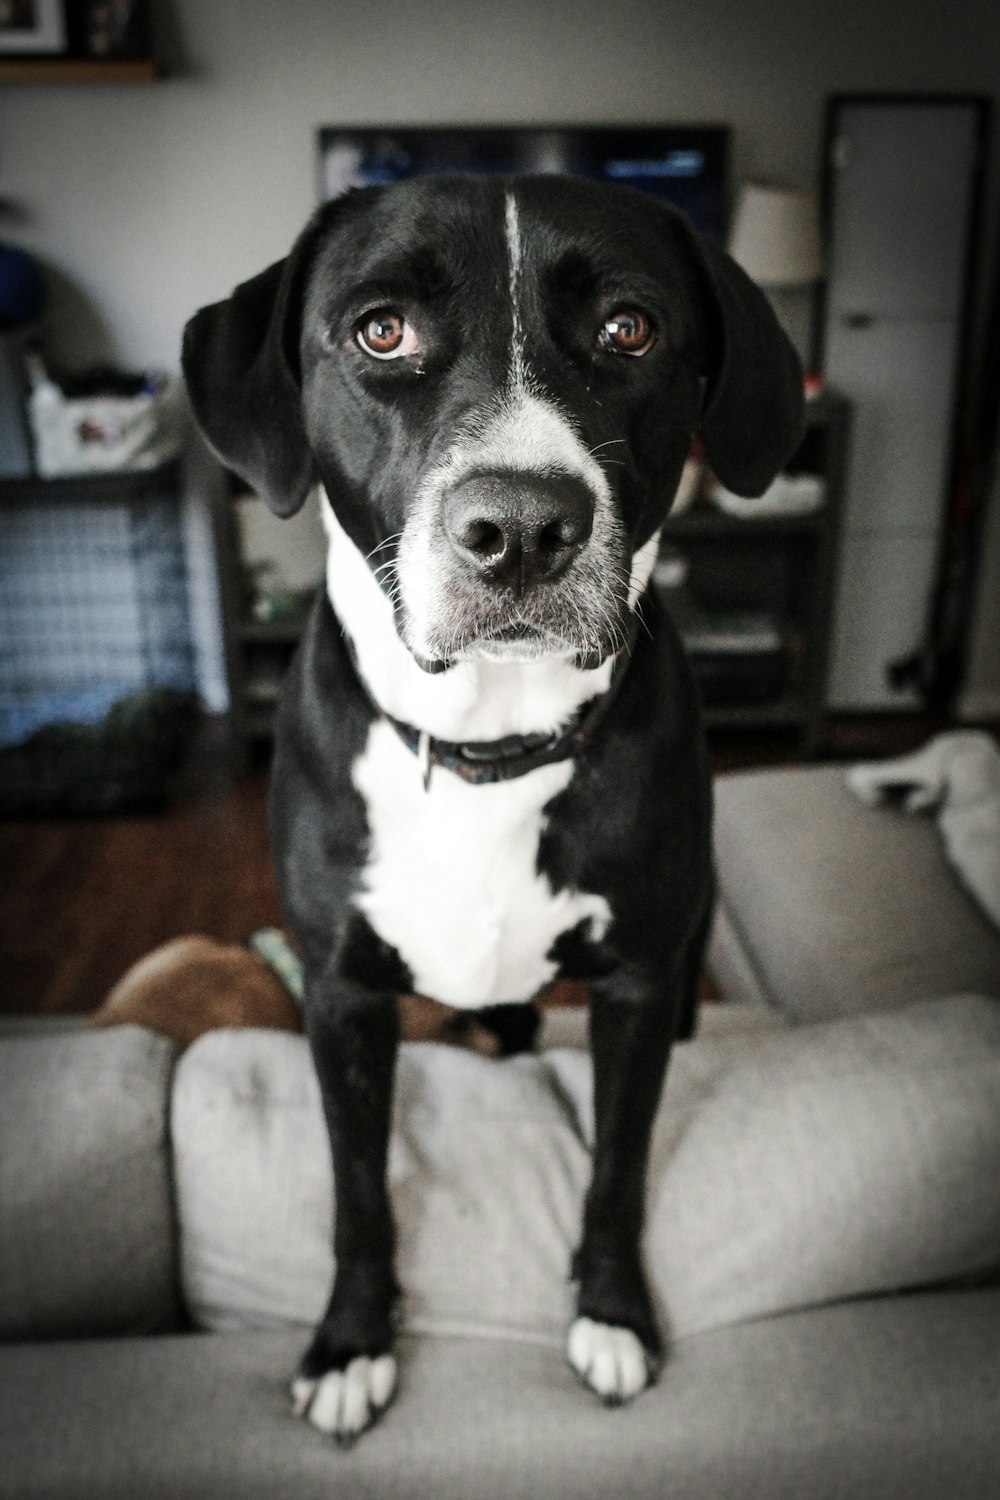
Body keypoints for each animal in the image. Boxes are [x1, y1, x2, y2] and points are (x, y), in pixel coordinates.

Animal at [182, 172, 803, 1440]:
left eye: (630, 328)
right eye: (380, 330)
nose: (519, 529)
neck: (485, 745)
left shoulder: (635, 989)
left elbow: (616, 1167)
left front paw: (611, 1314)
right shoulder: (341, 997)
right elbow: (357, 1189)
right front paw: (350, 1344)